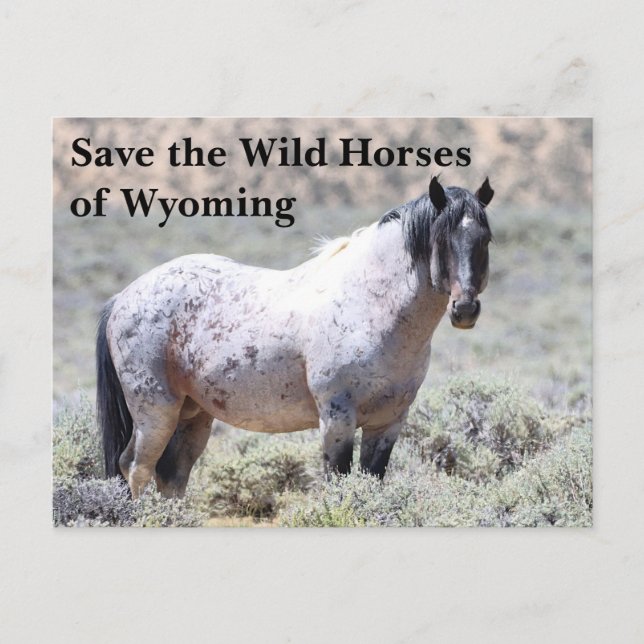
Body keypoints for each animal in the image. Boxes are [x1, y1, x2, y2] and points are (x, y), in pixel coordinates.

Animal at [97, 176, 494, 498]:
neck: (370, 306)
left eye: (485, 239)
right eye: (441, 239)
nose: (465, 309)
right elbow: (338, 482)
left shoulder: (388, 423)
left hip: (193, 414)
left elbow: (371, 481)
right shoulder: (336, 418)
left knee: (172, 474)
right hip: (155, 412)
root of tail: (122, 298)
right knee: (135, 467)